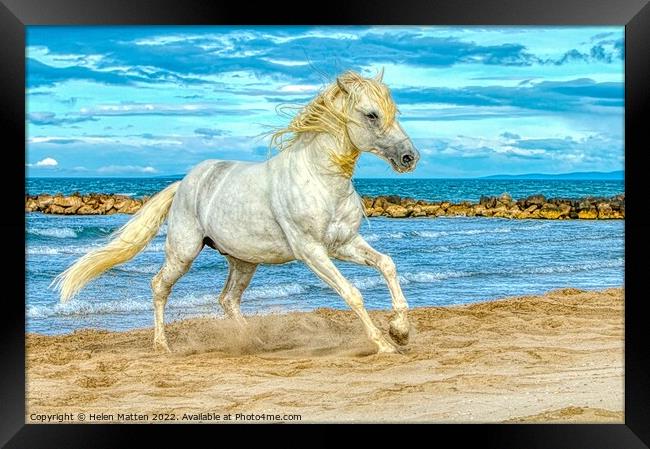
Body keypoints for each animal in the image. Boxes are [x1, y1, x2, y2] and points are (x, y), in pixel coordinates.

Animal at [55, 70, 420, 352]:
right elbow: (352, 293)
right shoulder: (312, 251)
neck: (318, 177)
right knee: (160, 286)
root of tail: (185, 182)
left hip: (244, 260)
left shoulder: (343, 244)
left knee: (228, 300)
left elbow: (387, 264)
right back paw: (163, 345)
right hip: (184, 251)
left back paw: (255, 343)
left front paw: (400, 331)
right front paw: (385, 344)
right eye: (371, 114)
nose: (409, 157)